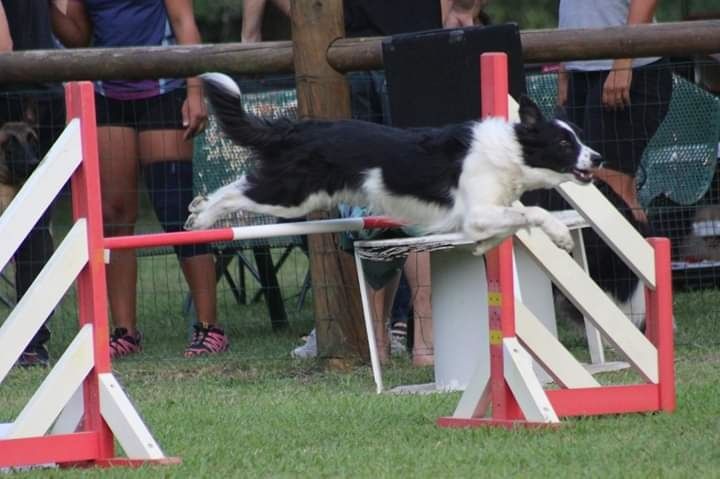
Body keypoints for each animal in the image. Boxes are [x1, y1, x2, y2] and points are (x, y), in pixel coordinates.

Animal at [183, 72, 600, 255]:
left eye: (579, 136)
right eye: (564, 142)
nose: (598, 158)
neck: (511, 150)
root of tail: (298, 127)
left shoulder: (484, 213)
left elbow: (511, 221)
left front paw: (484, 246)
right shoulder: (478, 210)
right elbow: (532, 212)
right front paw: (560, 236)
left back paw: (197, 209)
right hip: (293, 195)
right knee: (234, 192)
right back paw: (200, 219)